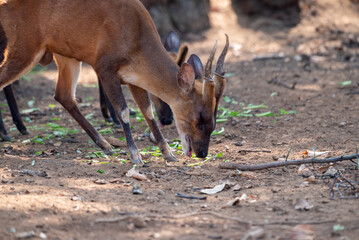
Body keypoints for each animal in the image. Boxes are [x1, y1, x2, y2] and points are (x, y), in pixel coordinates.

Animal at [0, 0, 229, 164]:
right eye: (200, 118)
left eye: (213, 118)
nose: (202, 153)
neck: (136, 35)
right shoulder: (105, 68)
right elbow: (124, 111)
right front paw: (136, 156)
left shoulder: (134, 78)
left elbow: (147, 111)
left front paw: (168, 153)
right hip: (25, 48)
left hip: (66, 56)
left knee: (63, 95)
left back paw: (105, 144)